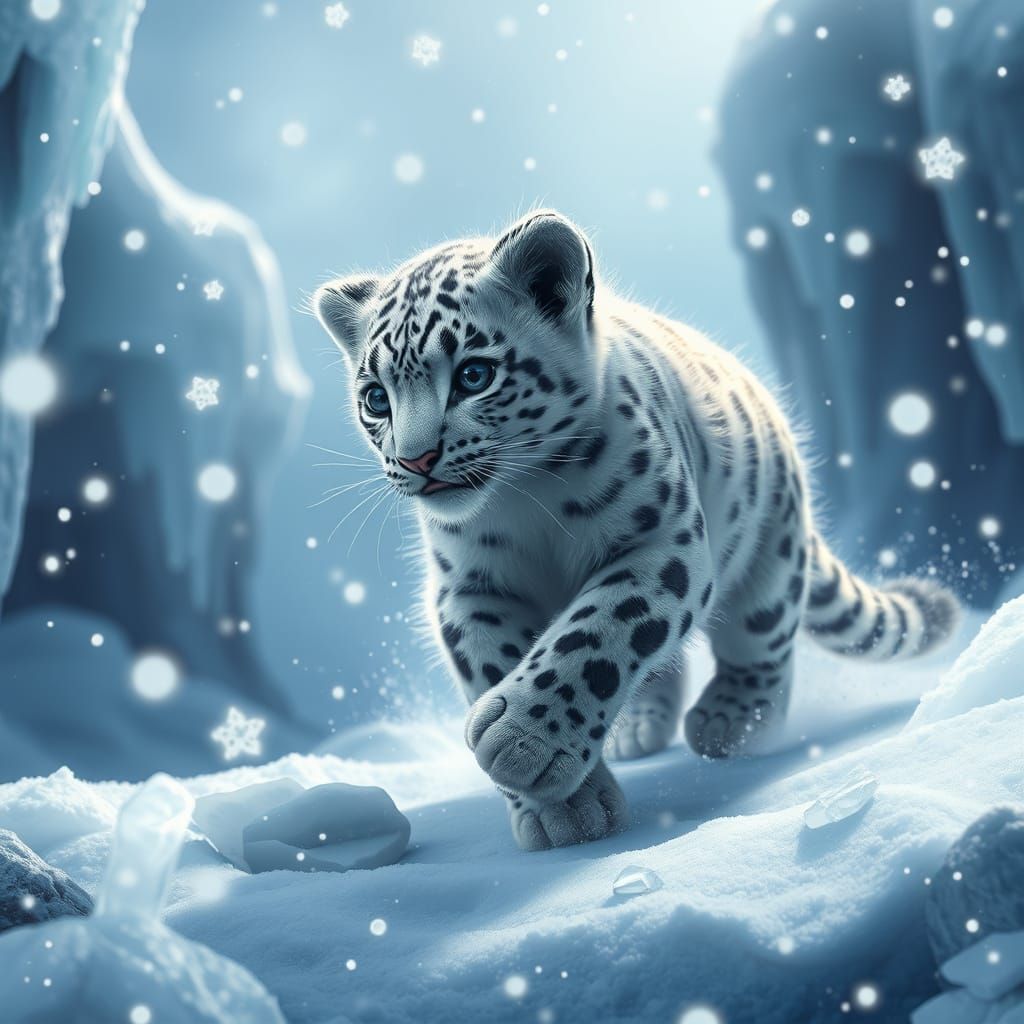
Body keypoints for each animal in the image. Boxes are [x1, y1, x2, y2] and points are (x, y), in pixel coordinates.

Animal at [314, 209, 959, 852]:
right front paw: (564, 807)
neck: (524, 499)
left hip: (771, 550)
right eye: (376, 399)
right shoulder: (472, 588)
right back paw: (638, 728)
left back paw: (732, 721)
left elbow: (599, 632)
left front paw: (522, 743)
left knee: (760, 639)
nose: (416, 458)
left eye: (474, 375)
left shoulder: (662, 544)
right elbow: (499, 660)